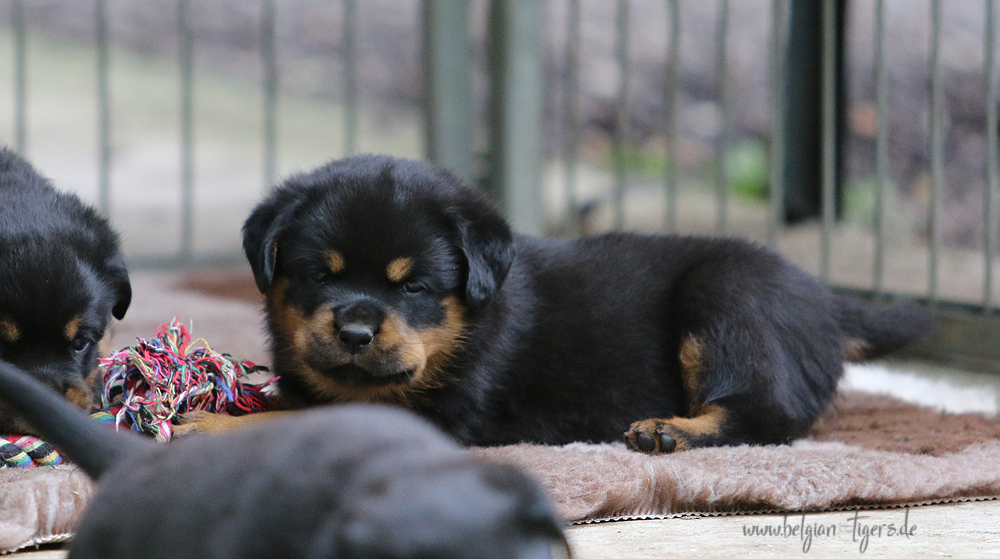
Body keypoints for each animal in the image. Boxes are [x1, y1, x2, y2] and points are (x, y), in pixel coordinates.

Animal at [179, 154, 932, 454]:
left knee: (770, 413)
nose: (357, 329)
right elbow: (288, 405)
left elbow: (292, 421)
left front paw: (199, 425)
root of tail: (830, 302)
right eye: (319, 276)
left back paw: (671, 431)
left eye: (413, 286)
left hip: (729, 293)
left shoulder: (442, 412)